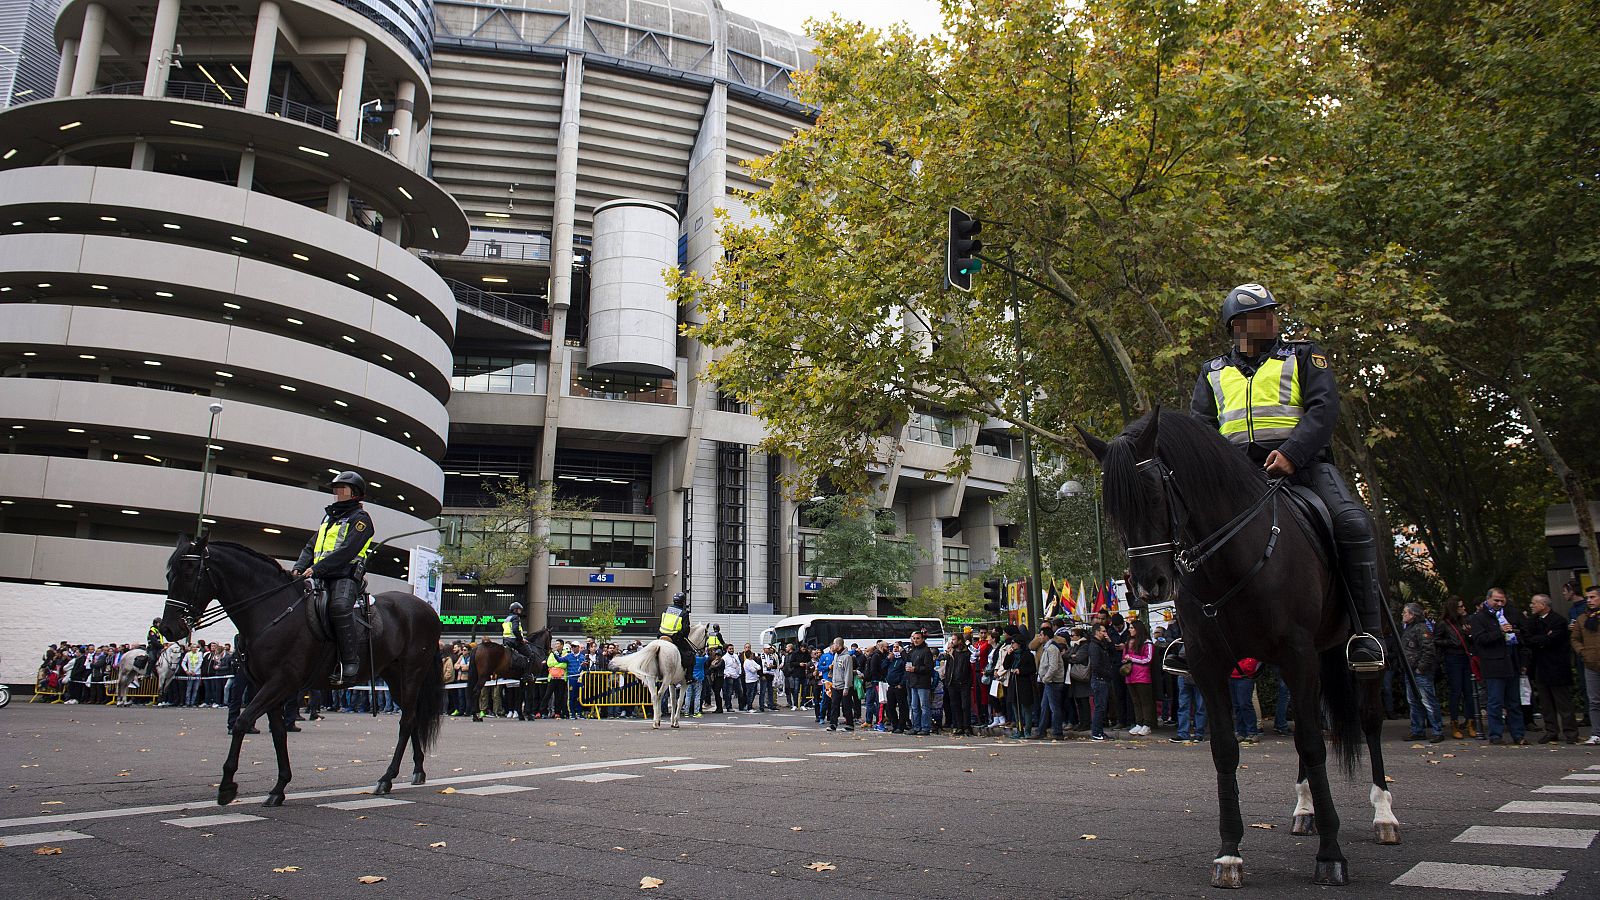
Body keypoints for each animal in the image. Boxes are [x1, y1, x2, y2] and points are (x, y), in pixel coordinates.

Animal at [160, 531, 448, 807]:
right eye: (168, 575)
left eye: (189, 573)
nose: (168, 629)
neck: (271, 609)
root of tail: (427, 609)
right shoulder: (268, 685)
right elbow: (277, 733)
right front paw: (278, 788)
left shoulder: (281, 681)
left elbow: (243, 722)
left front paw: (227, 786)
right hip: (393, 675)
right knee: (412, 719)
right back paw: (417, 770)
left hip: (411, 674)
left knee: (406, 721)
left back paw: (387, 778)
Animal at [1081, 409, 1395, 883]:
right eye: (1112, 507)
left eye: (1152, 492)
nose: (1149, 584)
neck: (1229, 559)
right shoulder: (1210, 664)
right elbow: (1226, 749)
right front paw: (1229, 852)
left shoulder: (1296, 653)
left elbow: (1312, 743)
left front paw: (1331, 854)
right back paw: (1304, 810)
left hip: (1354, 649)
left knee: (1367, 717)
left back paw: (1383, 814)